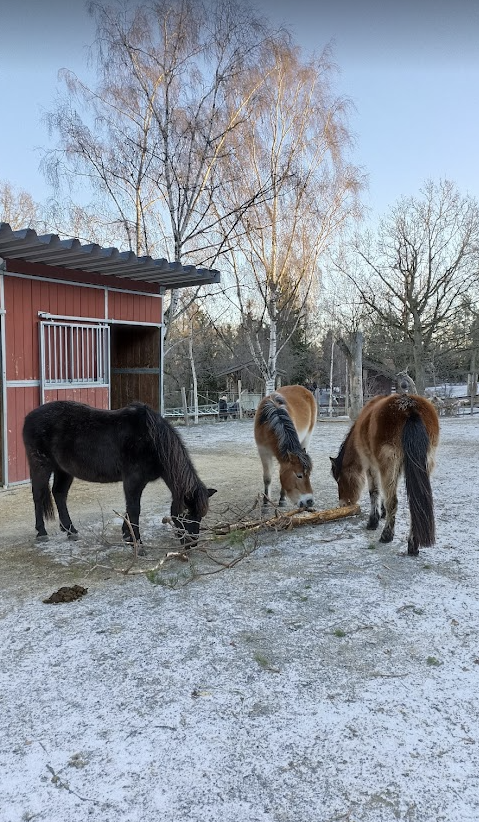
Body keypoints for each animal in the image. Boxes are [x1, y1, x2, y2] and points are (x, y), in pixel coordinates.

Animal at [22, 400, 216, 547]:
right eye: (185, 514)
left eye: (200, 516)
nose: (191, 544)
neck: (152, 440)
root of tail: (29, 416)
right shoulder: (133, 479)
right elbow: (134, 509)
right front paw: (137, 543)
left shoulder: (139, 481)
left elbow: (130, 508)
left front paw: (127, 535)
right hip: (41, 466)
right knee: (38, 495)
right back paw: (41, 532)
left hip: (64, 470)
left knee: (59, 494)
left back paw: (71, 531)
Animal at [330, 393, 439, 556]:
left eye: (339, 479)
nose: (343, 503)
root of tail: (410, 407)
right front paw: (382, 513)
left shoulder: (371, 466)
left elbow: (374, 492)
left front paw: (373, 520)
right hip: (425, 464)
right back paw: (413, 545)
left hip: (389, 464)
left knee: (393, 502)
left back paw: (387, 535)